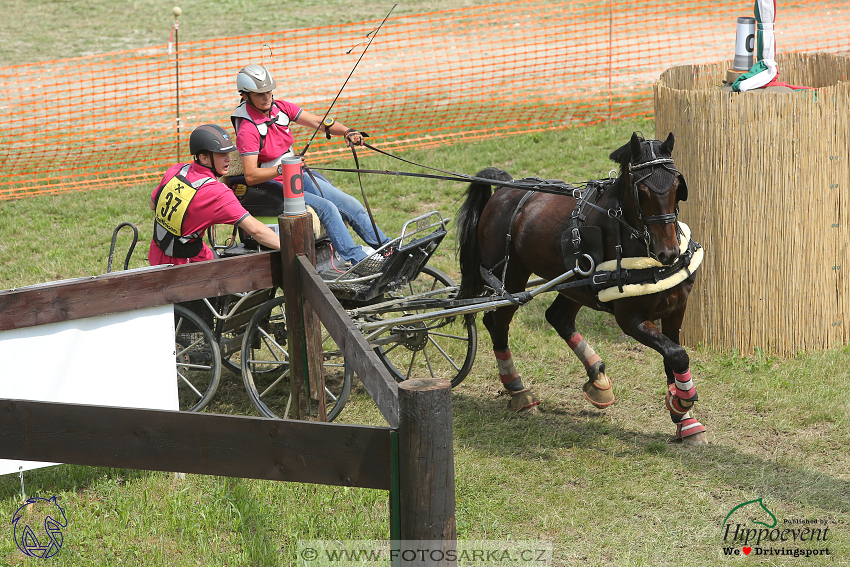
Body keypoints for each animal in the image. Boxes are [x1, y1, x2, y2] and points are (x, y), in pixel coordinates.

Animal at [454, 131, 704, 446]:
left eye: (675, 186)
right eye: (642, 191)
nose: (668, 252)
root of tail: (504, 190)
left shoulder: (675, 309)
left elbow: (673, 358)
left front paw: (685, 420)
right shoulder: (630, 319)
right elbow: (677, 355)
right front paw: (682, 403)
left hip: (576, 284)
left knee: (558, 317)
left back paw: (598, 378)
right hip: (511, 278)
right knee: (496, 323)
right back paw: (518, 390)